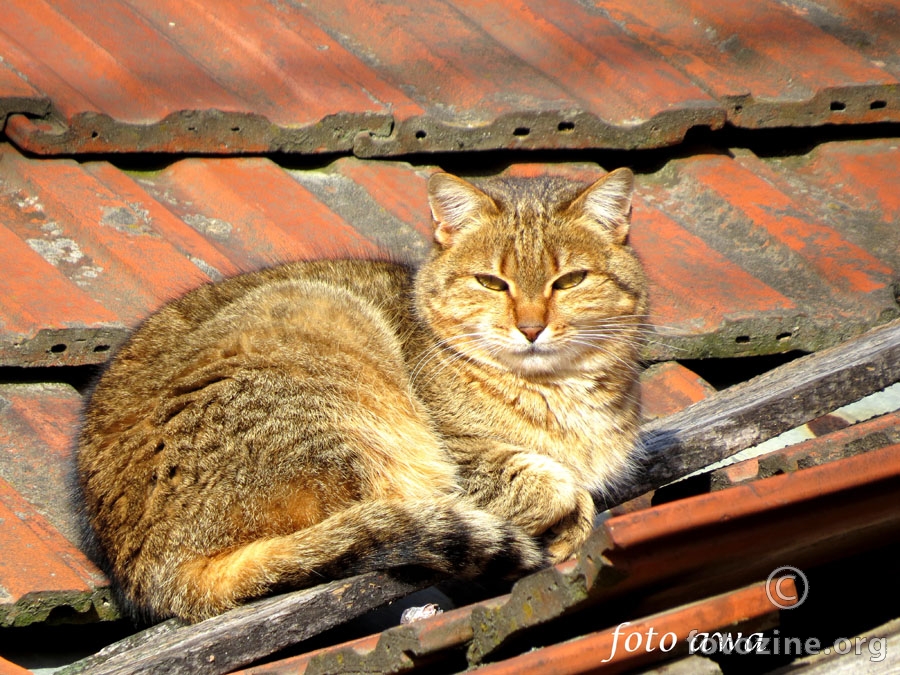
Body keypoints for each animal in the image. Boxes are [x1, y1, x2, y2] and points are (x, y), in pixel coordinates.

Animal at [72, 168, 648, 624]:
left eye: (570, 280)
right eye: (491, 282)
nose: (530, 328)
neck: (558, 389)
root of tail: (154, 571)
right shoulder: (460, 461)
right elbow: (551, 484)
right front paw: (571, 514)